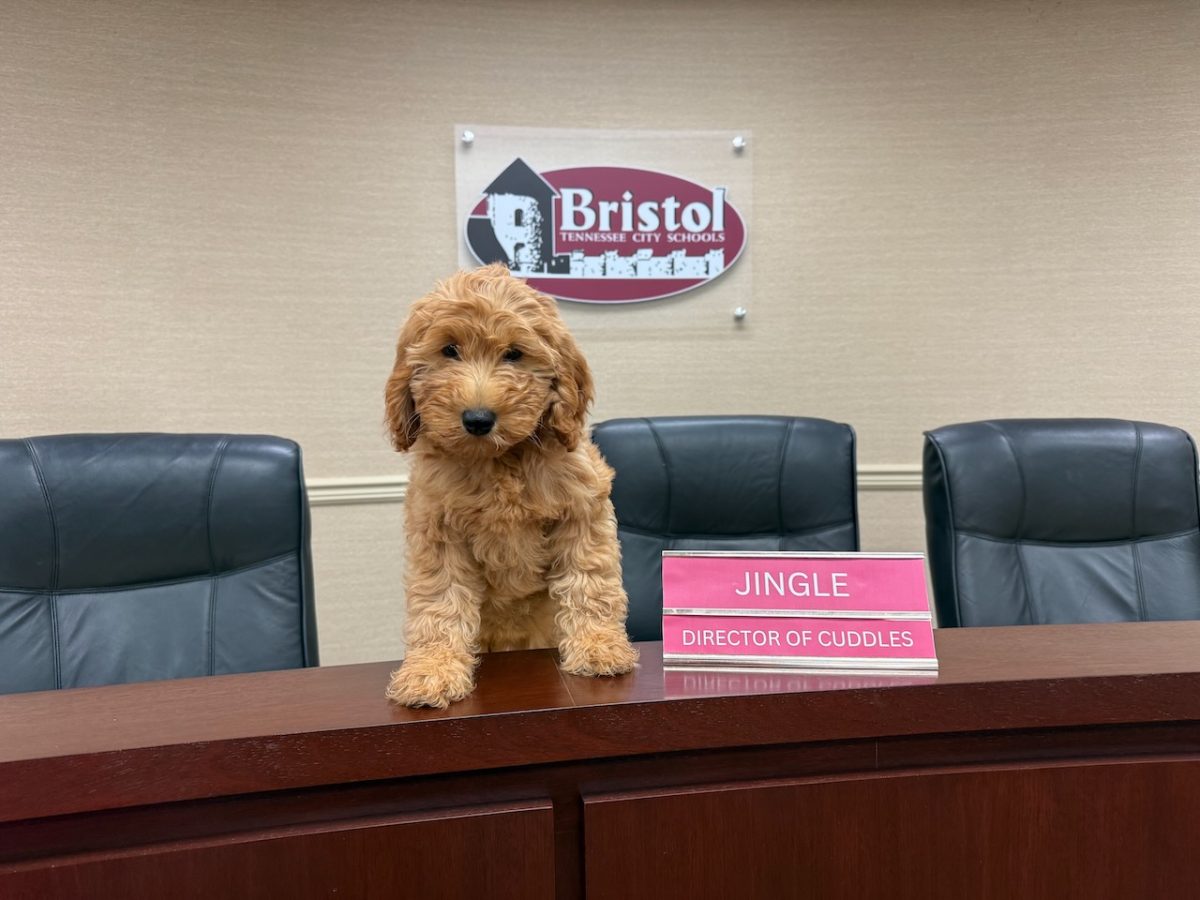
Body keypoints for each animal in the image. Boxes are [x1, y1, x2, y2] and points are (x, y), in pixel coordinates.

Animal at [388, 264, 643, 710]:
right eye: (449, 350)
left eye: (514, 353)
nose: (477, 419)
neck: (501, 459)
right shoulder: (438, 530)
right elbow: (440, 601)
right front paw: (431, 670)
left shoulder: (582, 509)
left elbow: (589, 581)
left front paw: (598, 647)